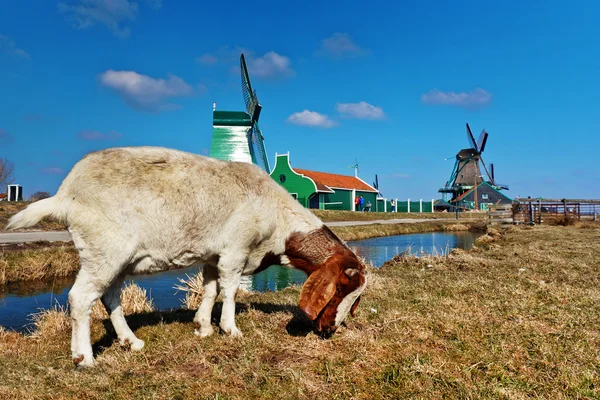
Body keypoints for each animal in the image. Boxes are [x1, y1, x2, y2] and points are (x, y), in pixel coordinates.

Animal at [7, 145, 366, 368]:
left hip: (114, 260)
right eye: (341, 289)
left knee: (111, 298)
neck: (278, 223)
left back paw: (131, 342)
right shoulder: (235, 250)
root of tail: (65, 195)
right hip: (103, 251)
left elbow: (209, 289)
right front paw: (230, 330)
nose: (329, 331)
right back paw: (84, 358)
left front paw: (203, 326)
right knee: (80, 298)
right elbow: (230, 291)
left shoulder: (212, 255)